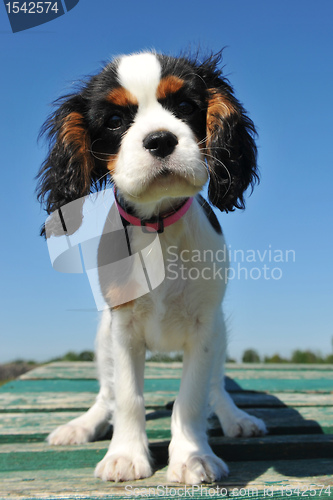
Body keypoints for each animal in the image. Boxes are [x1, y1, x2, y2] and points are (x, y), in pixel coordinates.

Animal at [37, 51, 264, 484]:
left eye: (186, 107)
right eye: (114, 120)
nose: (160, 140)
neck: (157, 225)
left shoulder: (205, 328)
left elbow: (191, 398)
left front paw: (193, 457)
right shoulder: (123, 329)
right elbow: (128, 397)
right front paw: (125, 456)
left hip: (221, 333)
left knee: (216, 388)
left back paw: (235, 417)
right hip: (102, 338)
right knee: (107, 394)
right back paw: (82, 425)